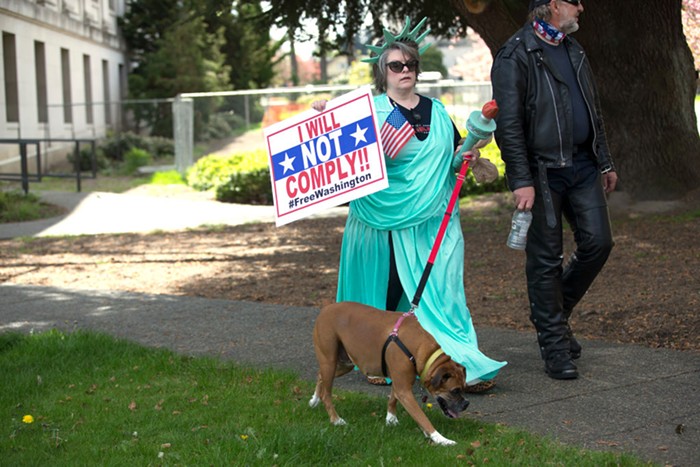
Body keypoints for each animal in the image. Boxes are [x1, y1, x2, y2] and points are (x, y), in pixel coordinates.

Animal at [308, 304, 468, 446]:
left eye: (463, 388)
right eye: (455, 391)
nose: (466, 403)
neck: (425, 352)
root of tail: (325, 309)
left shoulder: (399, 383)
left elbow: (392, 399)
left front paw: (391, 419)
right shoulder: (404, 391)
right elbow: (422, 418)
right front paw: (441, 439)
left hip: (343, 364)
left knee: (320, 375)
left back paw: (314, 399)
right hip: (330, 362)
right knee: (326, 394)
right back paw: (336, 420)